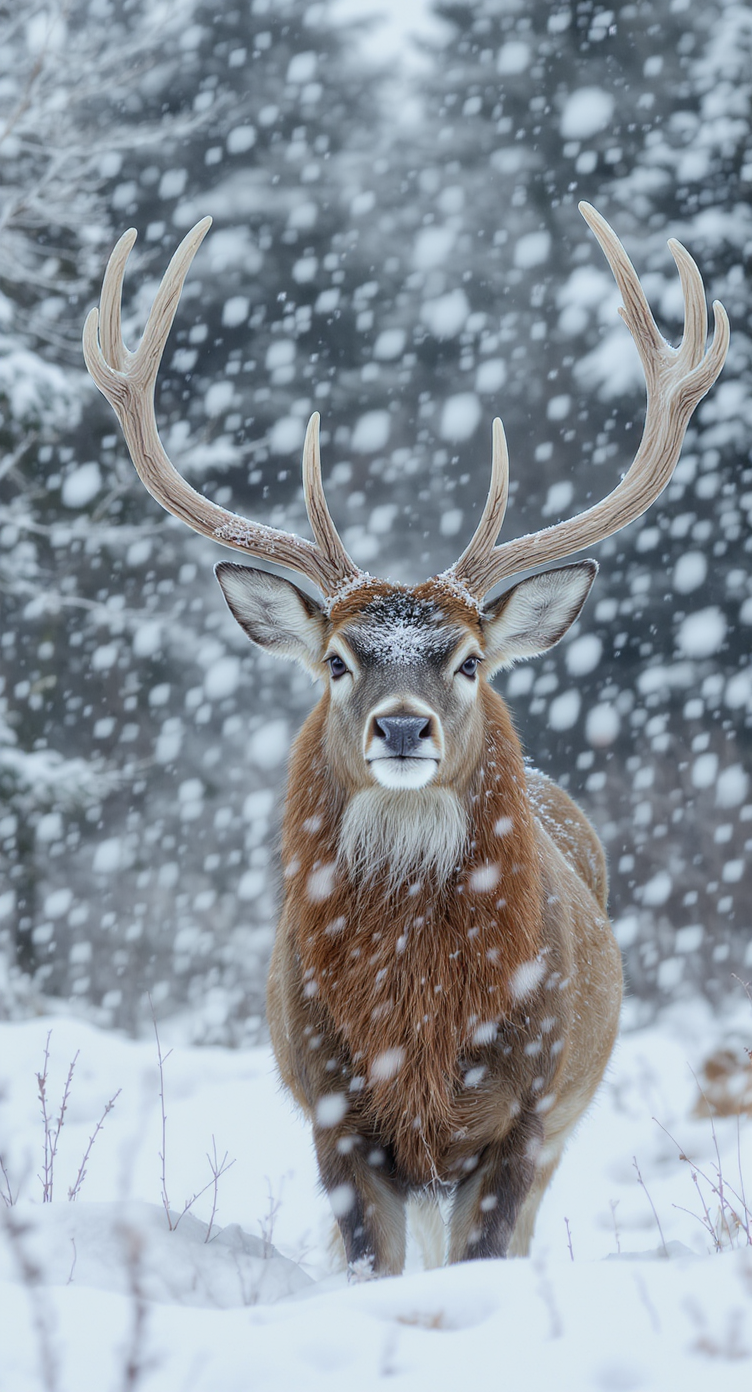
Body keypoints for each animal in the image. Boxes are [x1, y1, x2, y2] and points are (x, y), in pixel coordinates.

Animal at [83, 203, 728, 1274]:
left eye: (468, 661)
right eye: (338, 660)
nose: (400, 722)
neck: (418, 1023)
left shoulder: (528, 1114)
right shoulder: (333, 1111)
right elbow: (369, 1265)